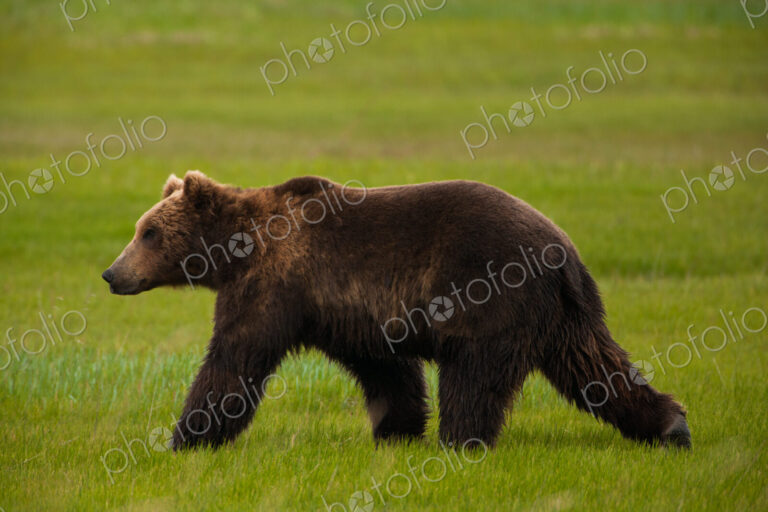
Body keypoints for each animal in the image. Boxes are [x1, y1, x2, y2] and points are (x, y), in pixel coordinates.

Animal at [102, 171, 691, 451]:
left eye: (148, 232)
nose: (112, 273)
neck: (238, 249)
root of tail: (562, 251)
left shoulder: (277, 284)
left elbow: (234, 357)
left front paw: (186, 436)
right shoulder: (344, 309)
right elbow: (385, 368)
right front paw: (396, 427)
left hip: (491, 295)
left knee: (474, 377)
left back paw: (461, 442)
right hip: (564, 314)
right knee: (593, 366)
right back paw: (670, 426)